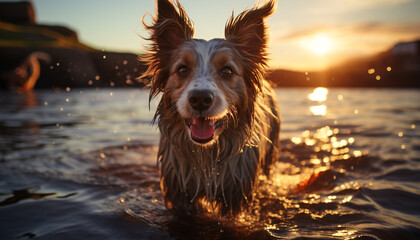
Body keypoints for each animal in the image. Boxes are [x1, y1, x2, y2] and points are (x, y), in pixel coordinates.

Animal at [142, 0, 282, 216]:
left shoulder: (237, 193)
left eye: (227, 71)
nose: (200, 99)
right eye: (182, 69)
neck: (206, 154)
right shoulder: (179, 192)